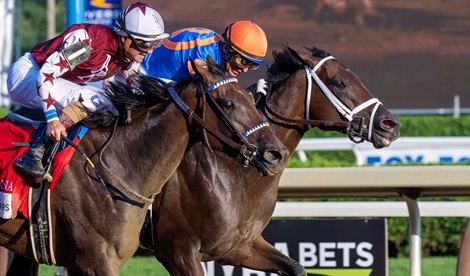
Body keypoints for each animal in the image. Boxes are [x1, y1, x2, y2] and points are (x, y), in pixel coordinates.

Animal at [148, 46, 400, 274]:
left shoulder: (238, 246)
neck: (236, 174)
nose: (391, 125)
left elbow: (296, 267)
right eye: (339, 83)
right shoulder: (178, 252)